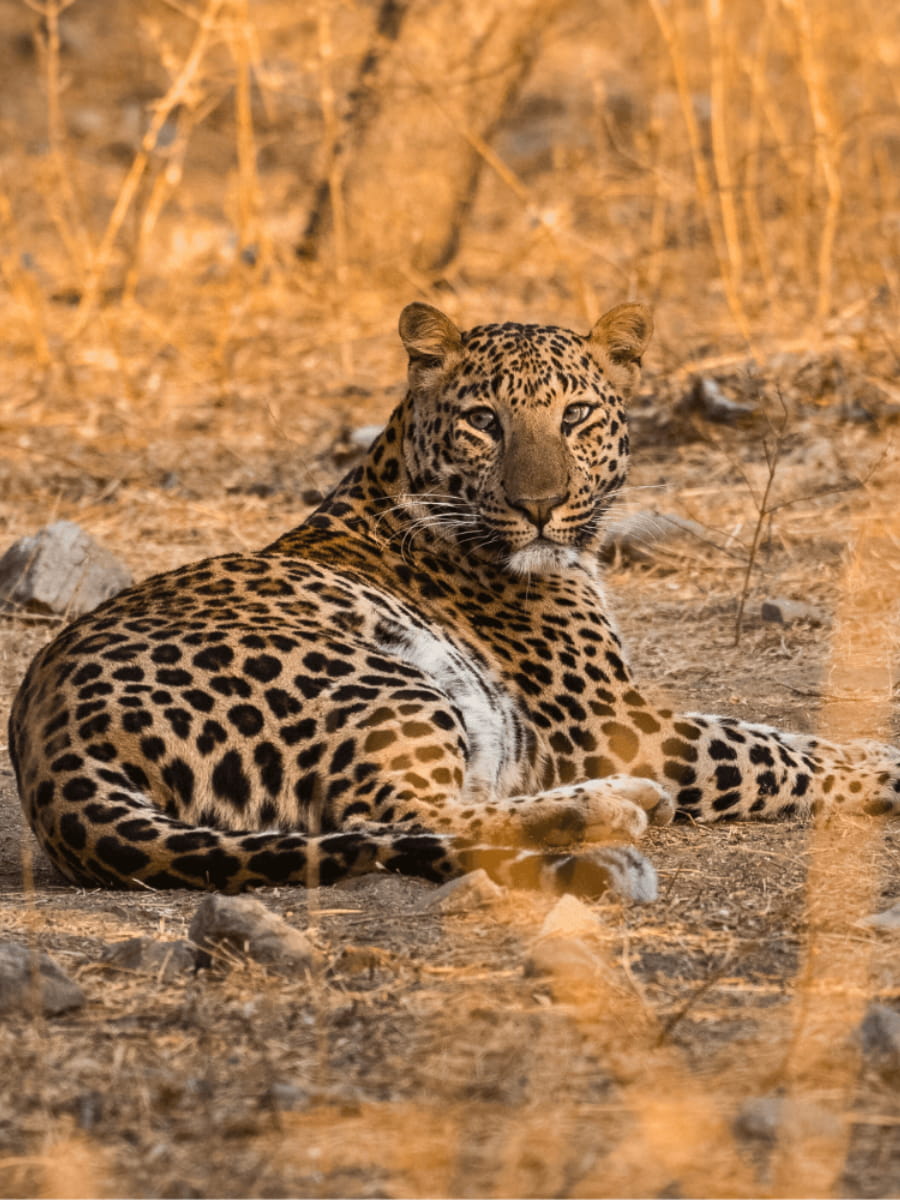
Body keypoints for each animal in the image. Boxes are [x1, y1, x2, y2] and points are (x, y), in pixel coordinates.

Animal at [8, 300, 900, 902]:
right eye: (483, 421)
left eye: (576, 415)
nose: (539, 506)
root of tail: (48, 751)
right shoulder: (618, 723)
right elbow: (766, 749)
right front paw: (888, 768)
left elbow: (774, 733)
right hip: (375, 681)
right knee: (404, 815)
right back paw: (606, 814)